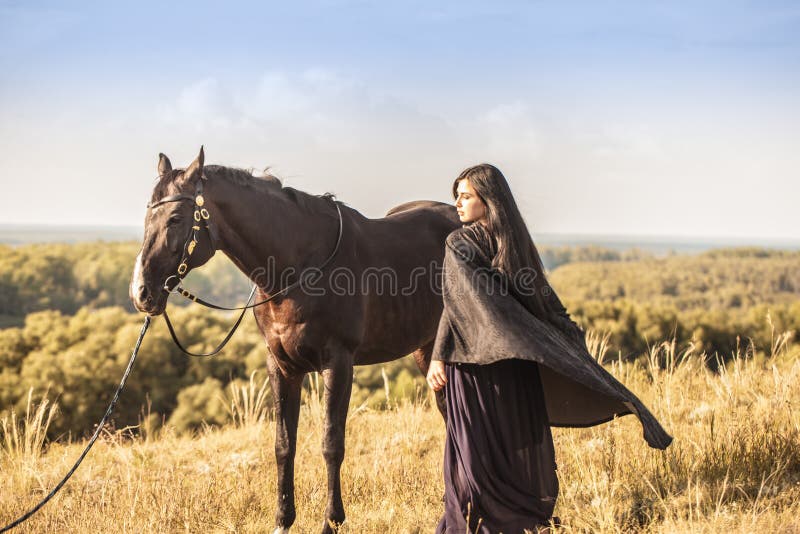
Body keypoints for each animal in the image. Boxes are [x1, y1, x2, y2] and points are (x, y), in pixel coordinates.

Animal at [128, 148, 460, 534]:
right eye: (148, 216)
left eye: (176, 218)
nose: (141, 293)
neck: (297, 267)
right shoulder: (282, 366)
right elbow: (283, 445)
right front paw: (283, 521)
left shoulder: (338, 363)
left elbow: (331, 443)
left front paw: (331, 521)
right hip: (428, 351)